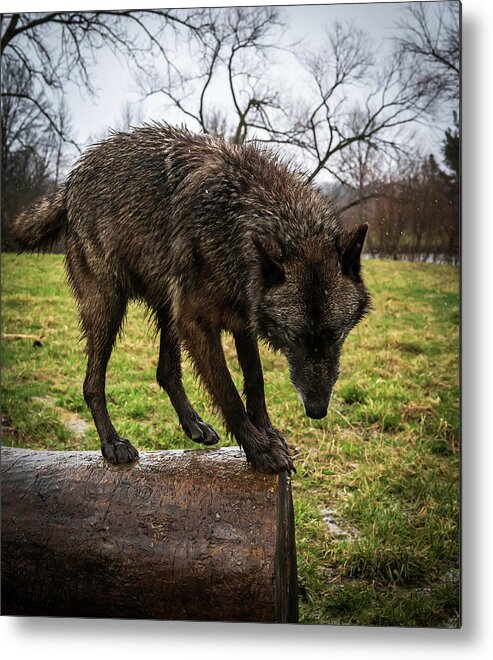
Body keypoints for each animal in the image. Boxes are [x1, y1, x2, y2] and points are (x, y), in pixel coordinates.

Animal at [12, 124, 368, 472]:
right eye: (294, 337)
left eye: (337, 334)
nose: (317, 410)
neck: (238, 217)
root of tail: (70, 182)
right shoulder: (197, 324)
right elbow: (228, 393)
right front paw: (260, 449)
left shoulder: (242, 320)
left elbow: (255, 381)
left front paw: (266, 431)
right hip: (110, 309)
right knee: (92, 384)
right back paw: (112, 443)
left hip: (168, 310)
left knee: (166, 372)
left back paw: (192, 424)